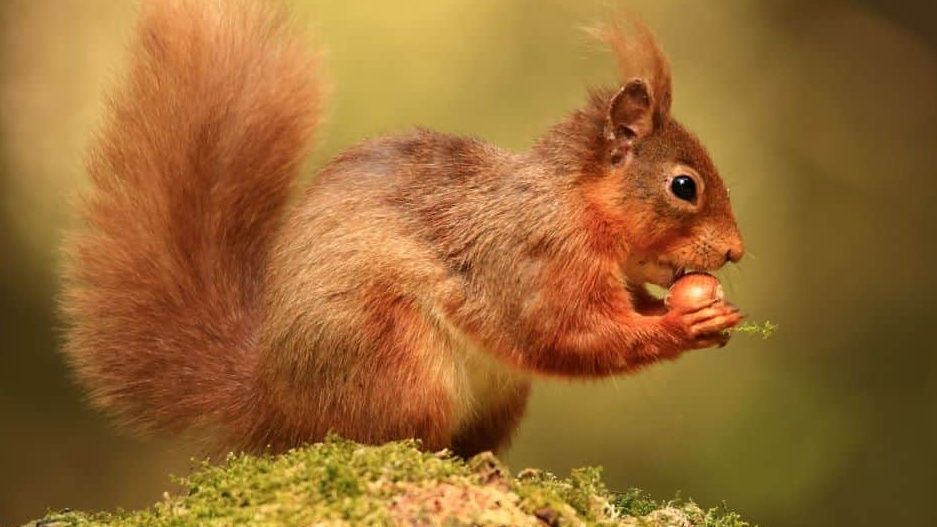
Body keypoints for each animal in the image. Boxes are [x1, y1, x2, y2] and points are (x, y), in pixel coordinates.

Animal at [62, 0, 744, 456]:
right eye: (684, 186)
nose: (737, 252)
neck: (571, 202)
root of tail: (273, 402)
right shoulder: (531, 258)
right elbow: (569, 334)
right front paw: (684, 321)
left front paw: (707, 311)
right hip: (394, 359)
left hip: (496, 397)